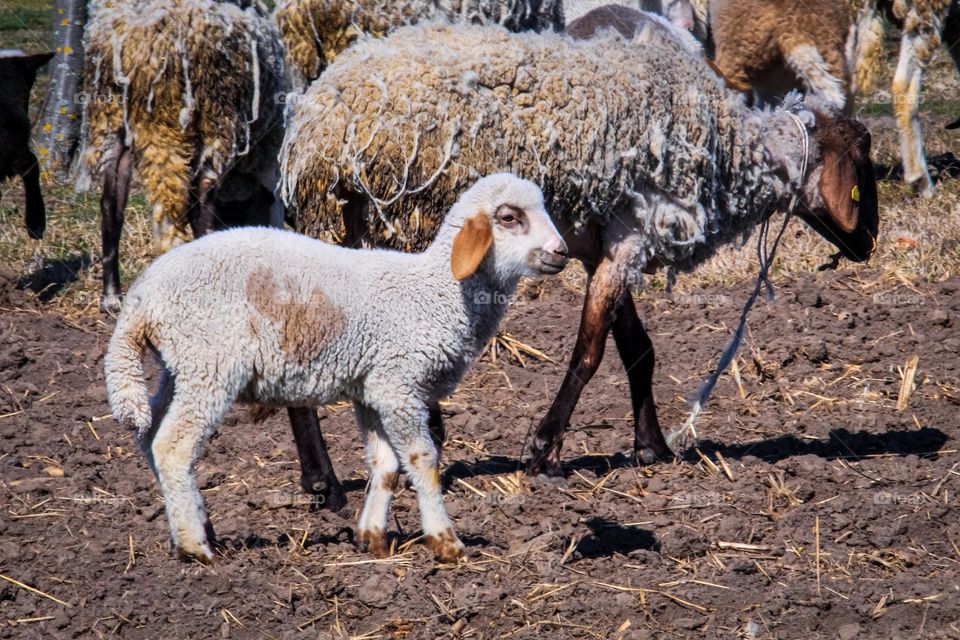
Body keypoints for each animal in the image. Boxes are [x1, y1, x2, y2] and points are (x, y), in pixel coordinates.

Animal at [76, 0, 288, 313]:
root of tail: (140, 40)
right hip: (211, 119)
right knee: (196, 205)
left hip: (111, 118)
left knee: (110, 206)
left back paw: (111, 296)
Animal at [104, 173, 569, 562]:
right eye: (509, 217)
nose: (561, 252)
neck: (436, 292)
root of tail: (141, 299)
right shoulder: (400, 384)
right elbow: (421, 460)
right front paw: (445, 540)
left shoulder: (373, 388)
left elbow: (384, 465)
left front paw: (372, 538)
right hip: (210, 362)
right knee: (173, 446)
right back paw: (195, 546)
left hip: (180, 366)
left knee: (149, 435)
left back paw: (198, 527)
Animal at [280, 22, 880, 479]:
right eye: (862, 156)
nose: (870, 241)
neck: (730, 152)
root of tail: (318, 128)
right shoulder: (633, 236)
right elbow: (589, 354)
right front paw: (544, 451)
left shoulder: (606, 245)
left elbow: (638, 350)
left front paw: (652, 447)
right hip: (396, 218)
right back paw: (363, 465)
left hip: (342, 225)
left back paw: (323, 481)